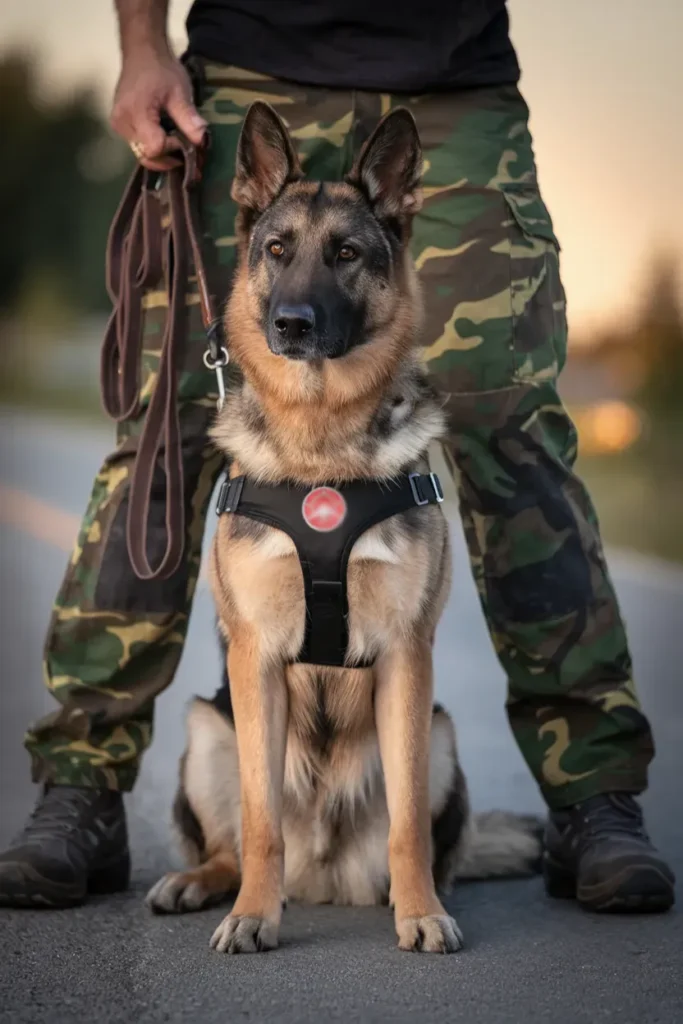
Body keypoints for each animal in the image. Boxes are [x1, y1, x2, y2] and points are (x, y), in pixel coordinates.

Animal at [147, 101, 540, 950]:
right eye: (277, 250)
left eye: (348, 254)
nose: (291, 324)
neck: (320, 443)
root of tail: (321, 875)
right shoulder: (256, 660)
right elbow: (260, 819)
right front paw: (251, 918)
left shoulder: (405, 658)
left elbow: (408, 826)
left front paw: (421, 913)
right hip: (207, 727)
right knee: (233, 842)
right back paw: (208, 885)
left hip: (441, 735)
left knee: (412, 836)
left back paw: (410, 894)